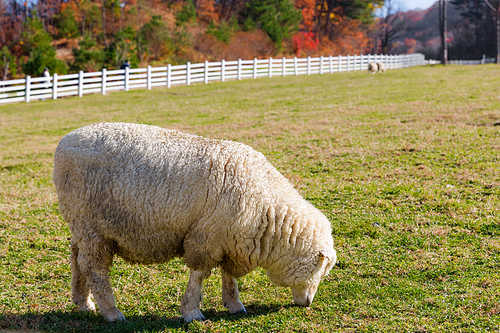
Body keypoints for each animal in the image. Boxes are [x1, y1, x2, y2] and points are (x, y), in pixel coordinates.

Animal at [53, 122, 336, 322]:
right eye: (319, 270)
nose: (308, 303)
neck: (268, 208)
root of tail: (63, 143)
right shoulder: (205, 237)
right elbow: (199, 275)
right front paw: (191, 311)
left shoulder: (228, 238)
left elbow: (228, 275)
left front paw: (234, 304)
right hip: (92, 226)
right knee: (95, 269)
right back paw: (111, 312)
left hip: (80, 224)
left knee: (77, 260)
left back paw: (83, 302)